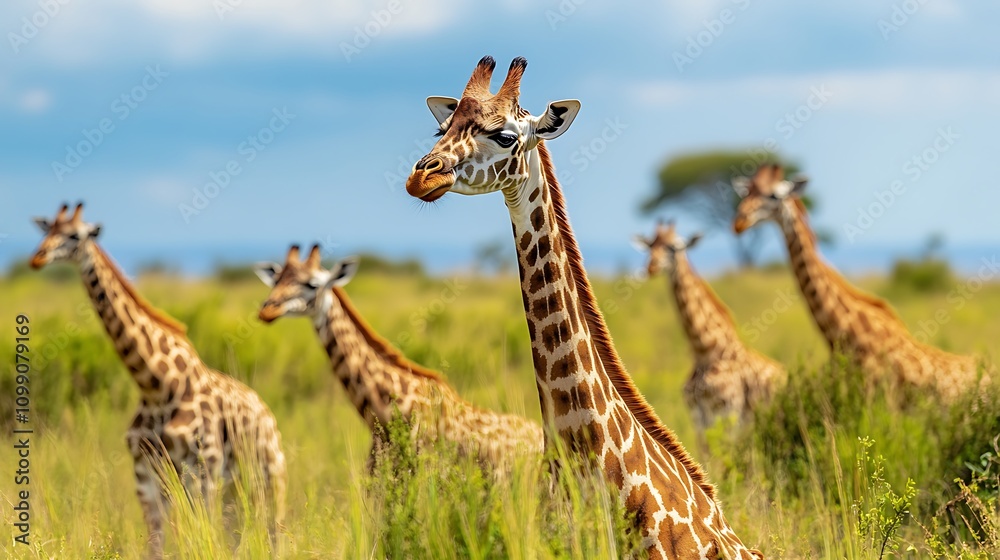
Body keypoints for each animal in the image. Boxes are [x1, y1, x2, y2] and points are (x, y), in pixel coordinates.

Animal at [29, 204, 286, 559]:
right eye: (48, 231)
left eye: (75, 236)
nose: (37, 258)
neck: (157, 385)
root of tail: (266, 411)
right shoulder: (146, 472)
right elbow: (157, 541)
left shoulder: (202, 469)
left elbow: (201, 535)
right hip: (233, 483)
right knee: (235, 529)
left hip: (268, 471)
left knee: (273, 526)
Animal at [633, 221, 785, 432]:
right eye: (650, 245)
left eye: (674, 247)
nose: (651, 267)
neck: (705, 351)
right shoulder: (698, 417)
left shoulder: (730, 412)